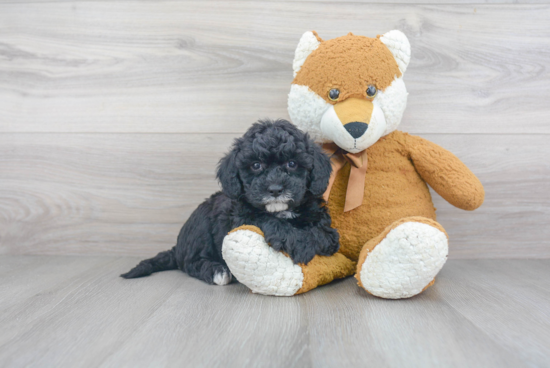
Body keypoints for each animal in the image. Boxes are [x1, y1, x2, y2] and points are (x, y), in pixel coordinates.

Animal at [122, 119, 340, 286]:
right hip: (200, 226)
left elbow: (323, 235)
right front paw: (295, 241)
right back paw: (218, 271)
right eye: (256, 165)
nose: (275, 189)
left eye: (292, 163)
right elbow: (265, 219)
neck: (281, 210)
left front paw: (305, 243)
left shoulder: (323, 222)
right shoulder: (240, 218)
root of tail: (177, 248)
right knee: (191, 262)